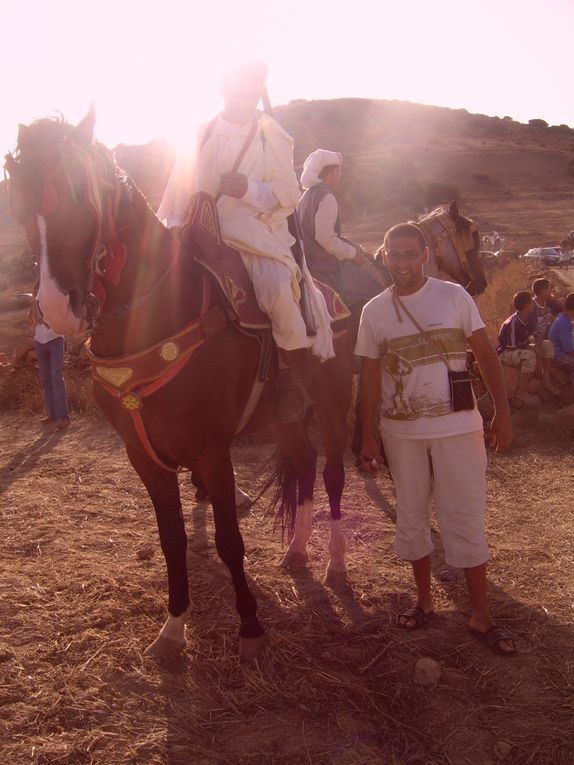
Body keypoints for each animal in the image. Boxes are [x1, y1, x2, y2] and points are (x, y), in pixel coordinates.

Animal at [4, 109, 360, 664]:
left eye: (81, 194)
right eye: (18, 199)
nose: (58, 309)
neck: (160, 317)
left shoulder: (211, 451)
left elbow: (229, 541)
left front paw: (250, 626)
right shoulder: (145, 456)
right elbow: (171, 538)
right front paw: (173, 628)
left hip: (331, 402)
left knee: (333, 475)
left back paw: (335, 564)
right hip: (284, 418)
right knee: (302, 466)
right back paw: (298, 550)